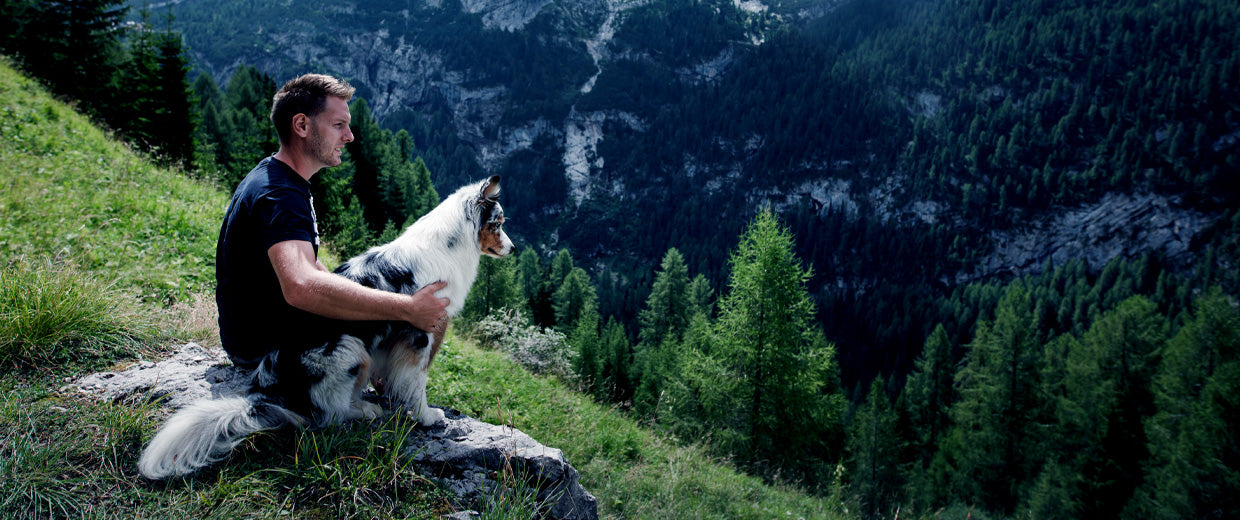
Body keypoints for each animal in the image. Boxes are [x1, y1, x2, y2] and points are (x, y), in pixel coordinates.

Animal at [138, 174, 515, 481]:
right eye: (497, 223)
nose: (512, 248)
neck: (450, 245)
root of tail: (265, 393)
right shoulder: (422, 331)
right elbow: (417, 381)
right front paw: (425, 416)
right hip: (350, 349)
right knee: (327, 416)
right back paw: (363, 409)